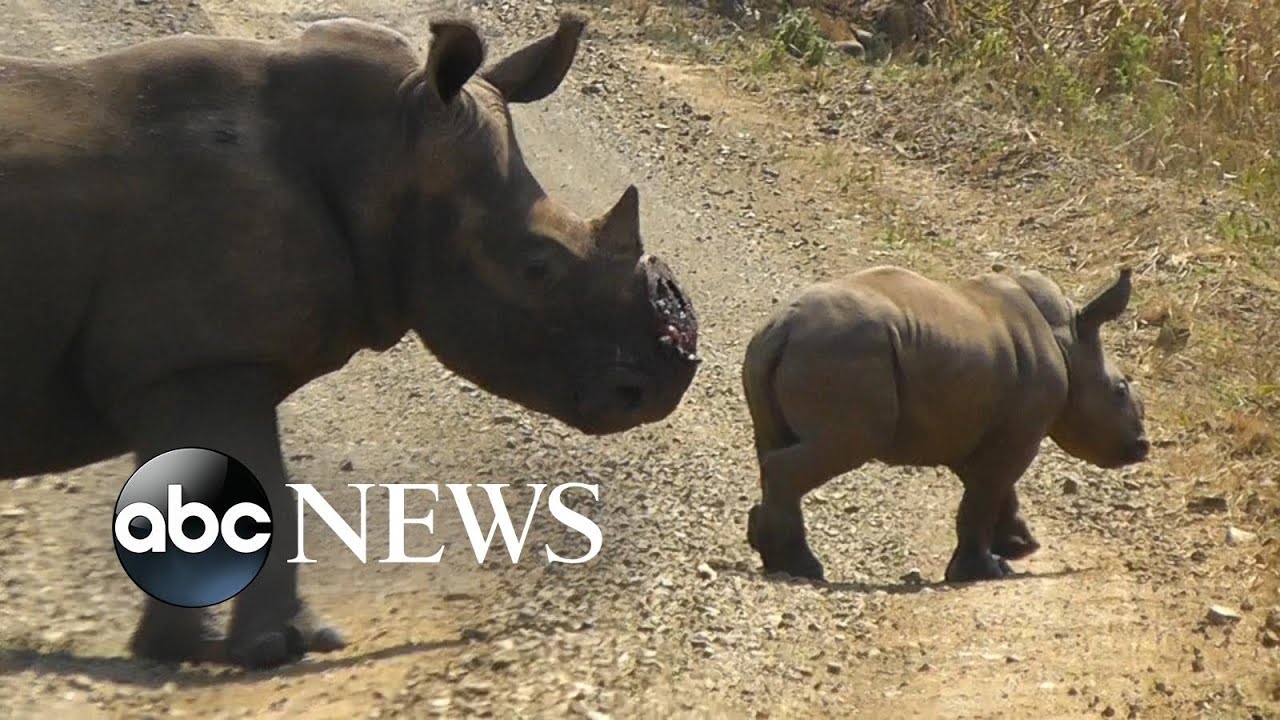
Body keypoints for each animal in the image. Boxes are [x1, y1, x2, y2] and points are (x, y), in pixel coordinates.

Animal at [0, 13, 700, 669]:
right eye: (536, 269)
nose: (668, 378)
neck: (382, 152)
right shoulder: (199, 359)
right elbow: (259, 492)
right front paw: (274, 647)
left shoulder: (186, 362)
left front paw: (187, 648)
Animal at [742, 264, 1147, 584]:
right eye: (1120, 390)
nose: (1142, 446)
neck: (1069, 342)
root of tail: (782, 327)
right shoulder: (1018, 430)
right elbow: (985, 493)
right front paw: (985, 571)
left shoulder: (966, 425)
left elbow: (992, 488)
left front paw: (1019, 546)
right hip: (840, 354)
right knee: (844, 444)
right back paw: (804, 569)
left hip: (786, 353)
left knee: (771, 442)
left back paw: (774, 555)